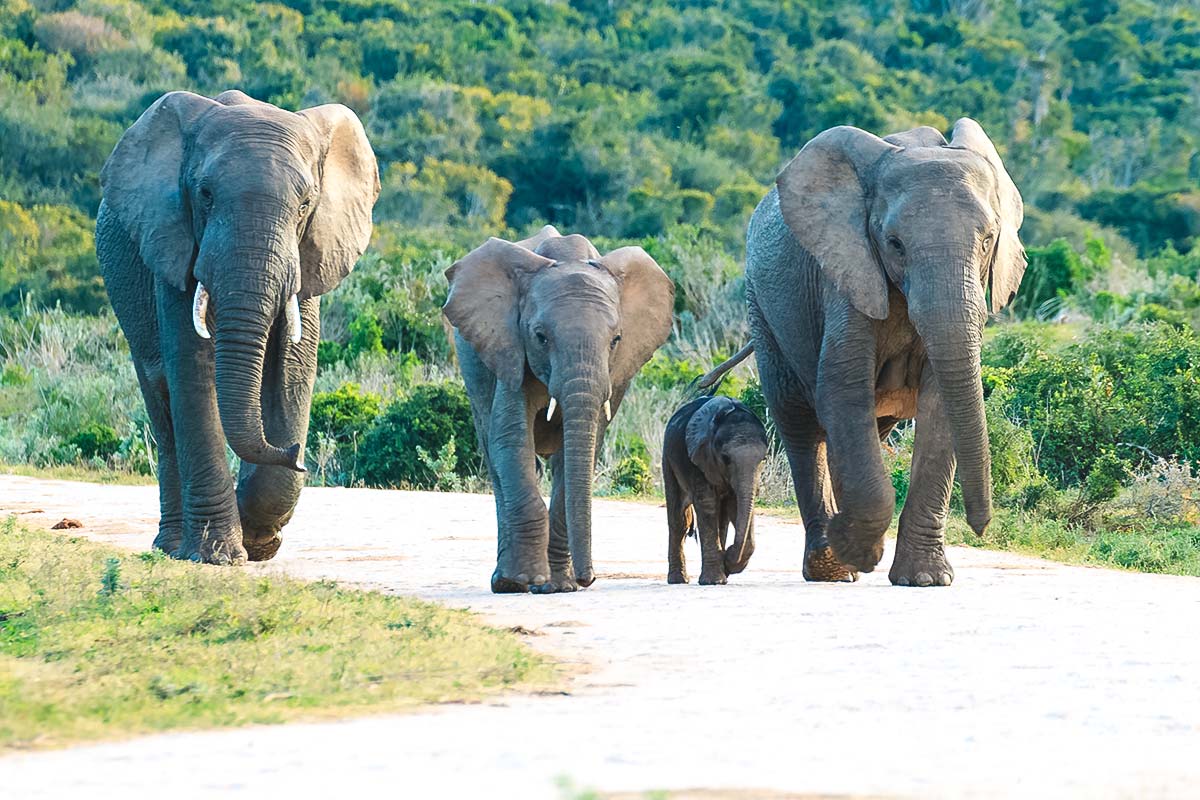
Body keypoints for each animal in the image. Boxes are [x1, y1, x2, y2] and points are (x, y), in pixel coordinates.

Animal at [97, 90, 379, 566]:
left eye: (306, 204)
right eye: (205, 194)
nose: (298, 456)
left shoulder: (310, 253)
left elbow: (291, 373)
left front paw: (259, 541)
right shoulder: (173, 246)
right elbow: (192, 371)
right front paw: (218, 555)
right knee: (161, 398)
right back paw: (171, 547)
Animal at [446, 225, 681, 594]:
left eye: (616, 340)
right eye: (540, 337)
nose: (589, 578)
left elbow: (580, 453)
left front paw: (559, 586)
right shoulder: (511, 349)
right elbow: (511, 441)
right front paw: (527, 581)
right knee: (495, 459)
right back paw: (506, 582)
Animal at [662, 398, 772, 585]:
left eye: (763, 459)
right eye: (725, 458)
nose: (728, 553)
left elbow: (736, 506)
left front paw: (727, 564)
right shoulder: (697, 460)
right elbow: (707, 504)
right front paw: (715, 578)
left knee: (720, 519)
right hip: (668, 459)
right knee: (680, 519)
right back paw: (679, 580)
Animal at [700, 115, 1022, 585]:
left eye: (988, 240)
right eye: (894, 243)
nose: (982, 527)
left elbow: (939, 405)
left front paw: (925, 580)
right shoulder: (845, 277)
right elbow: (842, 391)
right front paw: (857, 550)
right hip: (762, 308)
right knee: (800, 422)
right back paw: (831, 567)